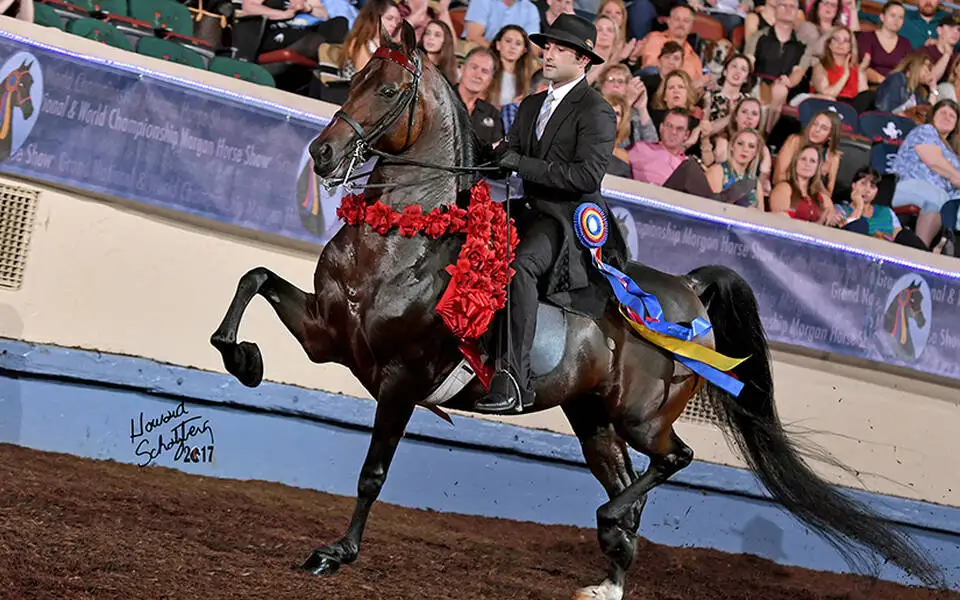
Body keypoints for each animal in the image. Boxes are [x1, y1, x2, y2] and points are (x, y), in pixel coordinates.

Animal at [210, 22, 943, 599]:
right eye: (353, 76)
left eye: (387, 91)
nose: (324, 154)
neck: (402, 236)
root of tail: (686, 289)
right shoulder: (328, 336)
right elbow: (253, 277)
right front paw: (244, 360)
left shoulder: (402, 378)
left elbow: (372, 473)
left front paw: (336, 554)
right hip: (593, 418)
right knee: (630, 478)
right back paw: (611, 570)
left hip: (641, 416)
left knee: (675, 460)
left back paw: (611, 527)